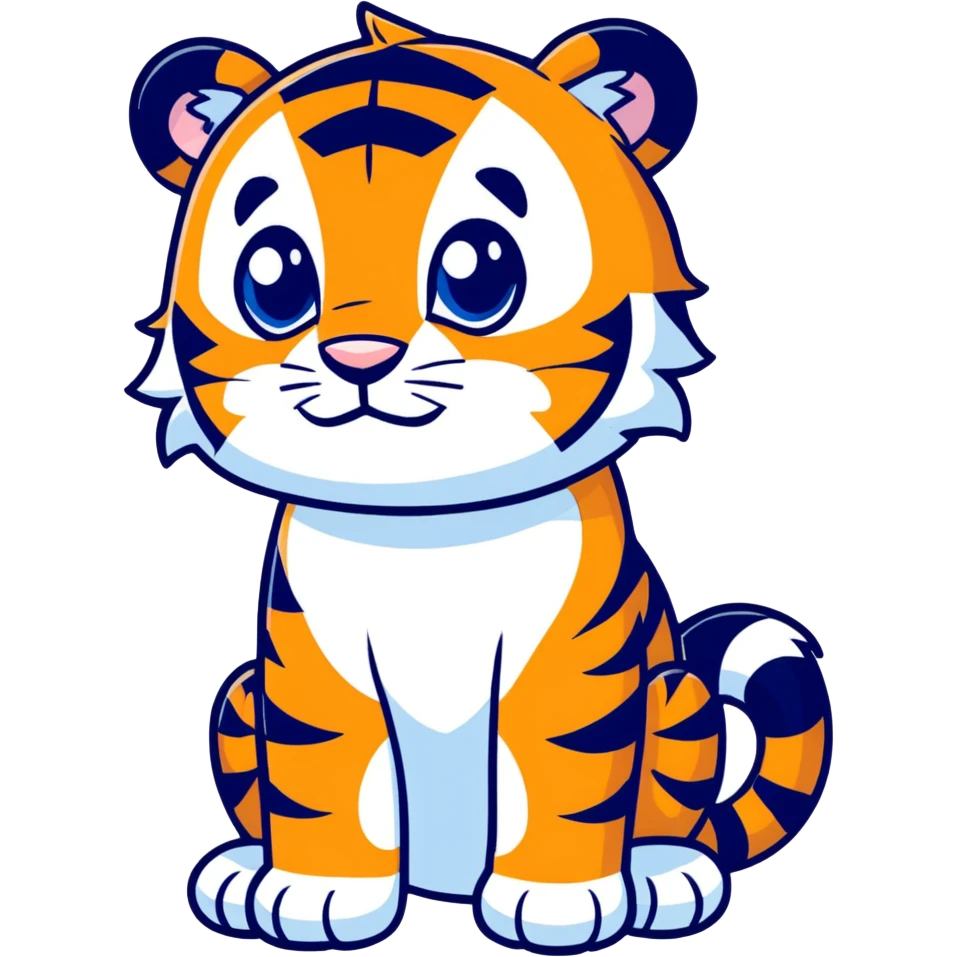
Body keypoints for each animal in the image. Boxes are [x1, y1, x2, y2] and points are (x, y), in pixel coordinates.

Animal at [125, 6, 834, 953]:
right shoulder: (309, 665)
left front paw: (560, 905)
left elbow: (569, 778)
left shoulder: (573, 664)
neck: (422, 525)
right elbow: (317, 778)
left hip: (673, 692)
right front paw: (313, 893)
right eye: (272, 276)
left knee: (676, 815)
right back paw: (239, 871)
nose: (358, 358)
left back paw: (664, 875)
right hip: (239, 693)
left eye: (478, 268)